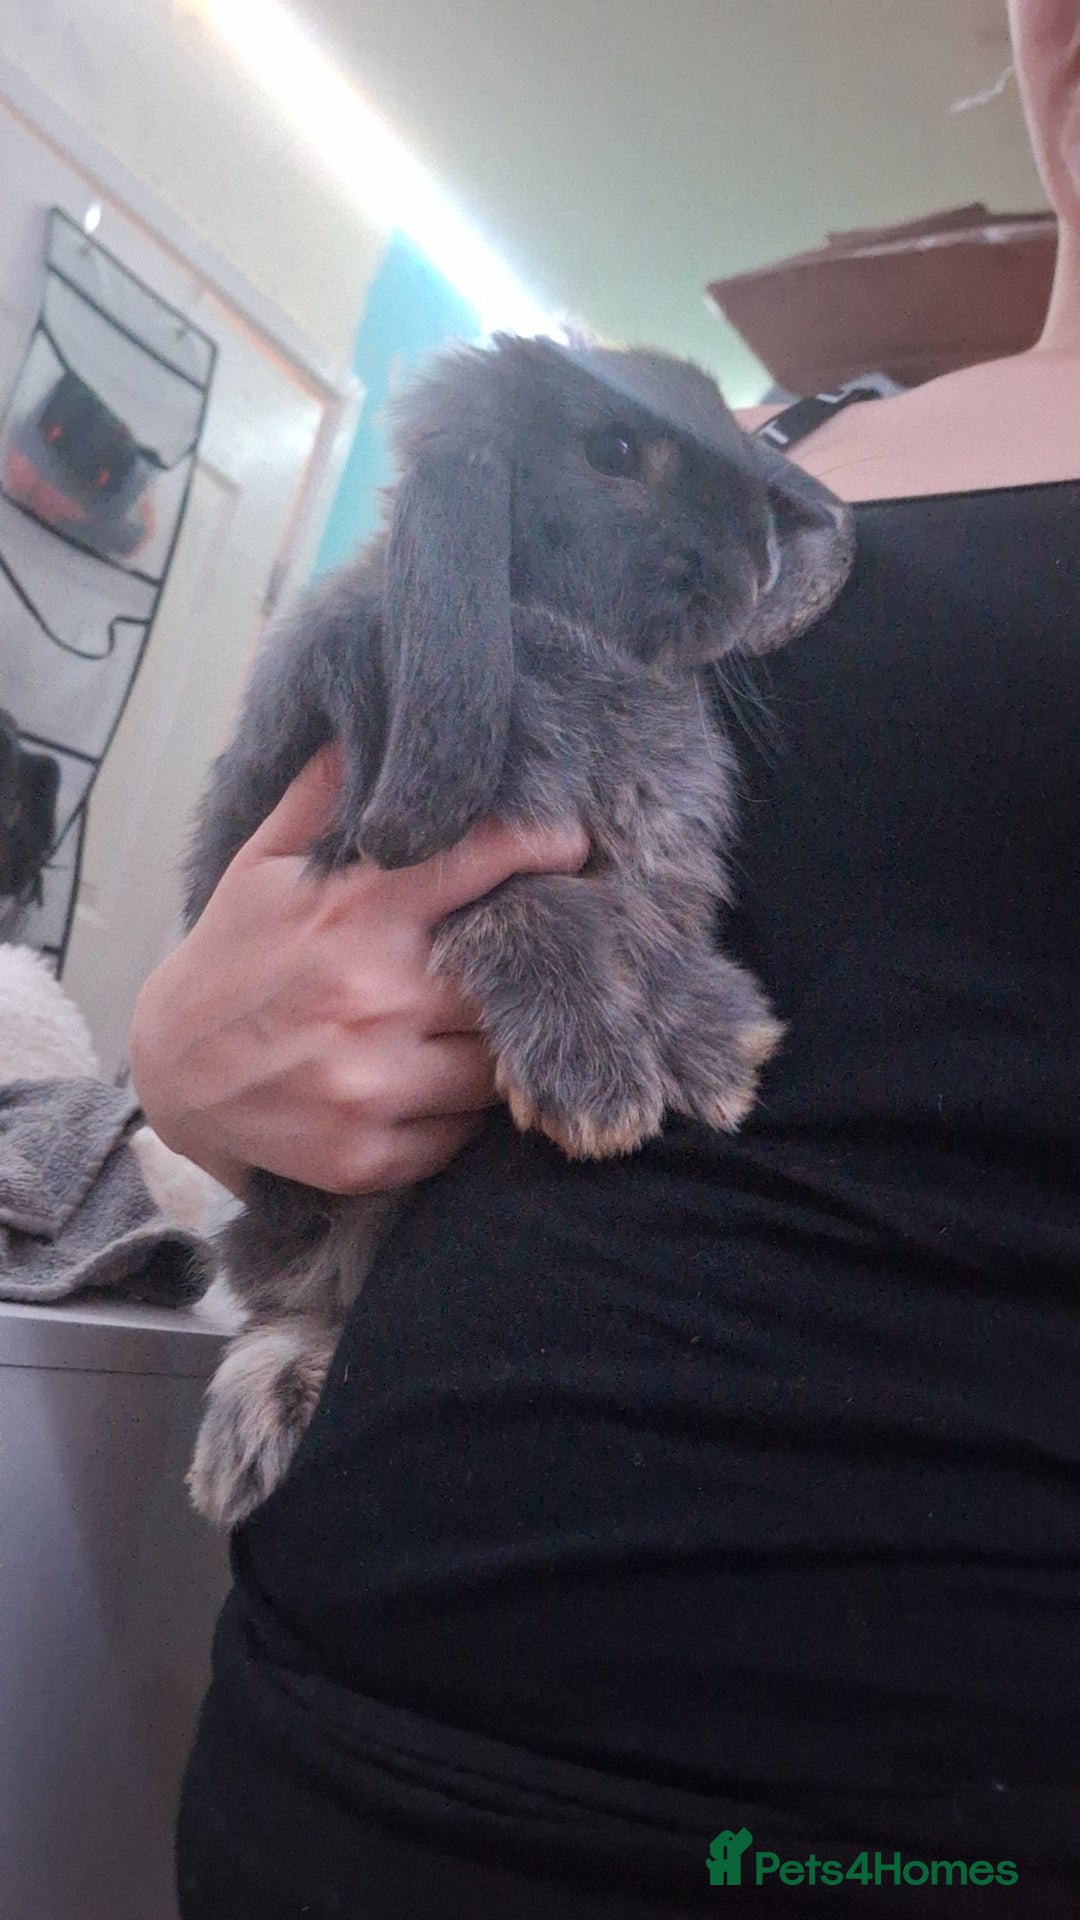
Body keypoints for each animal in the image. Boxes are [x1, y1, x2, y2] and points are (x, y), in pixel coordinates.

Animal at [184, 333, 854, 1527]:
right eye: (615, 452)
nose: (770, 549)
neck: (576, 645)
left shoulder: (660, 865)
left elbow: (648, 922)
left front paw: (713, 1047)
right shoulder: (447, 857)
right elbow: (535, 905)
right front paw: (598, 1085)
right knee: (296, 1294)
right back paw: (250, 1434)